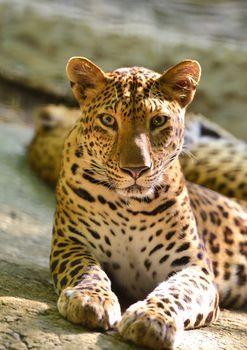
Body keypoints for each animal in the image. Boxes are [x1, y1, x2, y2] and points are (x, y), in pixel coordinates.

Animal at [49, 56, 246, 348]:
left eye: (158, 121)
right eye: (108, 120)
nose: (136, 170)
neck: (129, 207)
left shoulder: (194, 267)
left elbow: (177, 292)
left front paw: (152, 319)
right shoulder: (70, 241)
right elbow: (86, 269)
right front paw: (90, 299)